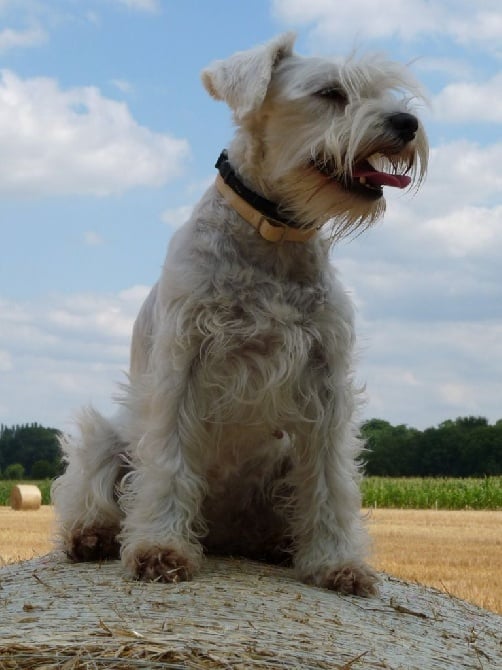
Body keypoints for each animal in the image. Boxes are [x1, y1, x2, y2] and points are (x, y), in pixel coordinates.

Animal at [52, 34, 428, 600]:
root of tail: (225, 535)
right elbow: (168, 463)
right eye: (330, 93)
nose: (407, 123)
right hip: (107, 435)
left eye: (385, 92)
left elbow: (330, 480)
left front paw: (338, 562)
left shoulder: (327, 386)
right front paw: (159, 550)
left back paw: (280, 546)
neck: (274, 237)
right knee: (93, 488)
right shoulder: (181, 369)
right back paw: (91, 535)